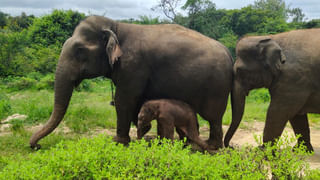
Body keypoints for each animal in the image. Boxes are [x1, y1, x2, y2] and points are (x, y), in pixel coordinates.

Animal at [29, 15, 232, 149]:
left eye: (79, 50)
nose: (36, 146)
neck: (116, 26)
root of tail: (228, 52)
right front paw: (142, 136)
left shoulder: (133, 65)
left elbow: (124, 100)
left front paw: (118, 142)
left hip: (217, 87)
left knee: (214, 117)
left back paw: (210, 146)